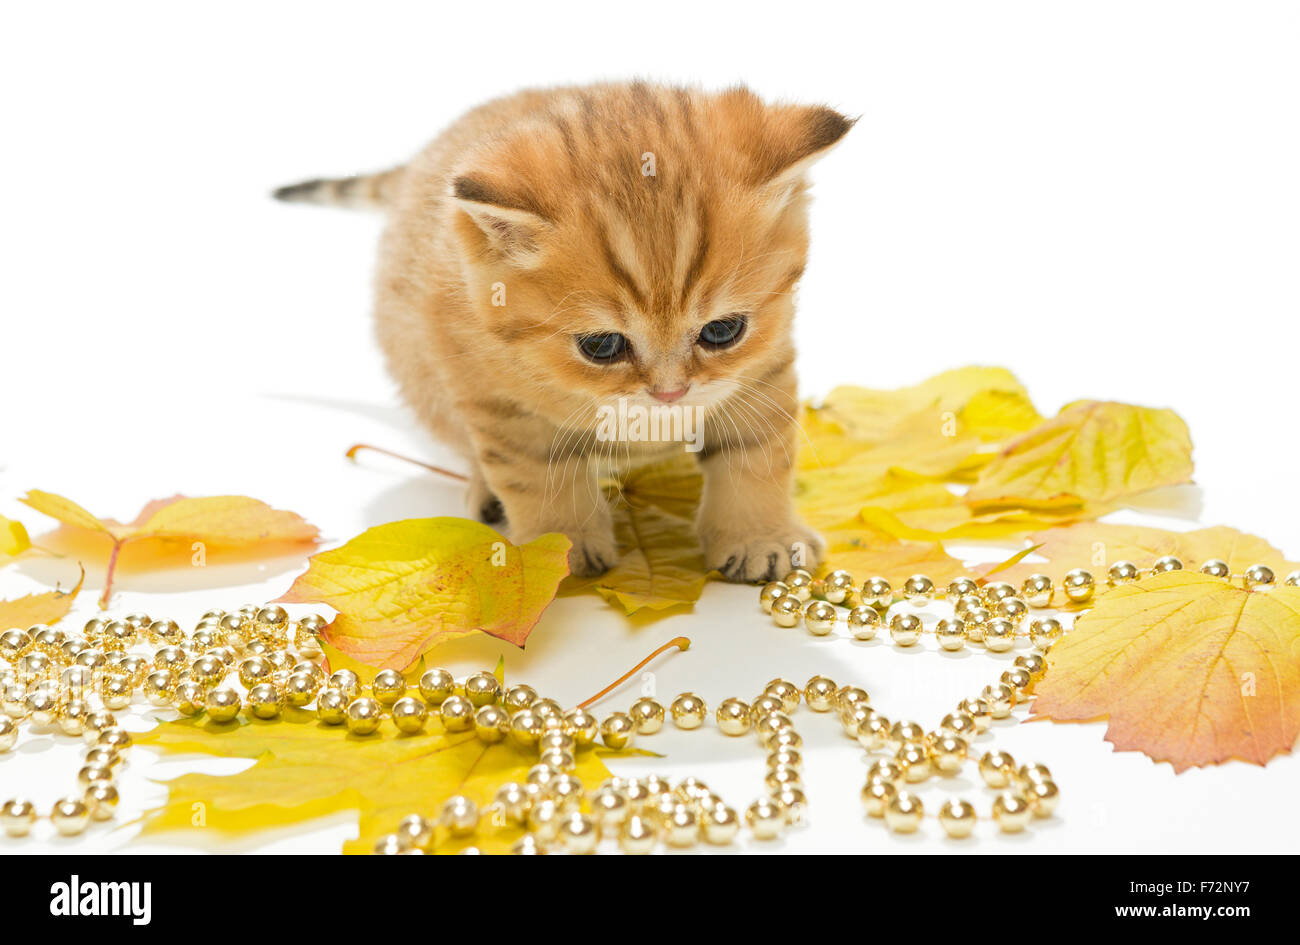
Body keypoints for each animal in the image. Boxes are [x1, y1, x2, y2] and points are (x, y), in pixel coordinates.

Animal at [276, 83, 852, 584]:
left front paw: (760, 537)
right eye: (601, 346)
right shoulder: (494, 396)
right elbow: (538, 473)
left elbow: (757, 455)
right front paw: (562, 545)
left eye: (723, 331)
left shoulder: (763, 370)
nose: (670, 393)